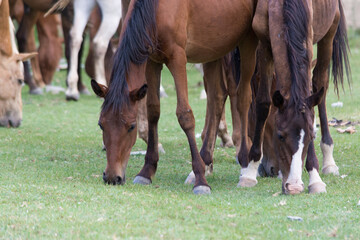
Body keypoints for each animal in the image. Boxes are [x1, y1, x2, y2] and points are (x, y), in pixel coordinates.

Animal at [91, 0, 258, 194]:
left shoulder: (178, 58)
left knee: (243, 96)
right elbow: (153, 111)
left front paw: (200, 180)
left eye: (131, 127)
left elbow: (185, 115)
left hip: (247, 42)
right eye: (101, 125)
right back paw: (206, 159)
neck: (156, 8)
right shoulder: (152, 61)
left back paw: (245, 163)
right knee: (217, 97)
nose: (112, 177)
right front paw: (147, 171)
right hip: (215, 49)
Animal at [246, 0, 350, 195]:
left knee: (320, 85)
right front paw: (249, 171)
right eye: (280, 136)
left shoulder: (307, 43)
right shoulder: (264, 44)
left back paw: (328, 159)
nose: (294, 186)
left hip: (329, 32)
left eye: (311, 136)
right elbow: (263, 103)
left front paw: (315, 178)